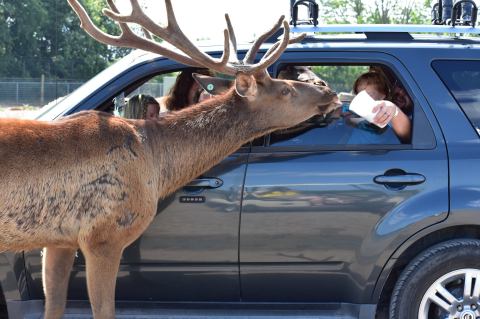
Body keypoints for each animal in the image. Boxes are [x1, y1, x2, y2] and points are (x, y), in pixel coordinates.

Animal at [0, 1, 338, 318]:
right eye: (286, 90)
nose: (331, 93)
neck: (154, 159)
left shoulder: (60, 240)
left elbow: (54, 307)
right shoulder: (104, 235)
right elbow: (104, 310)